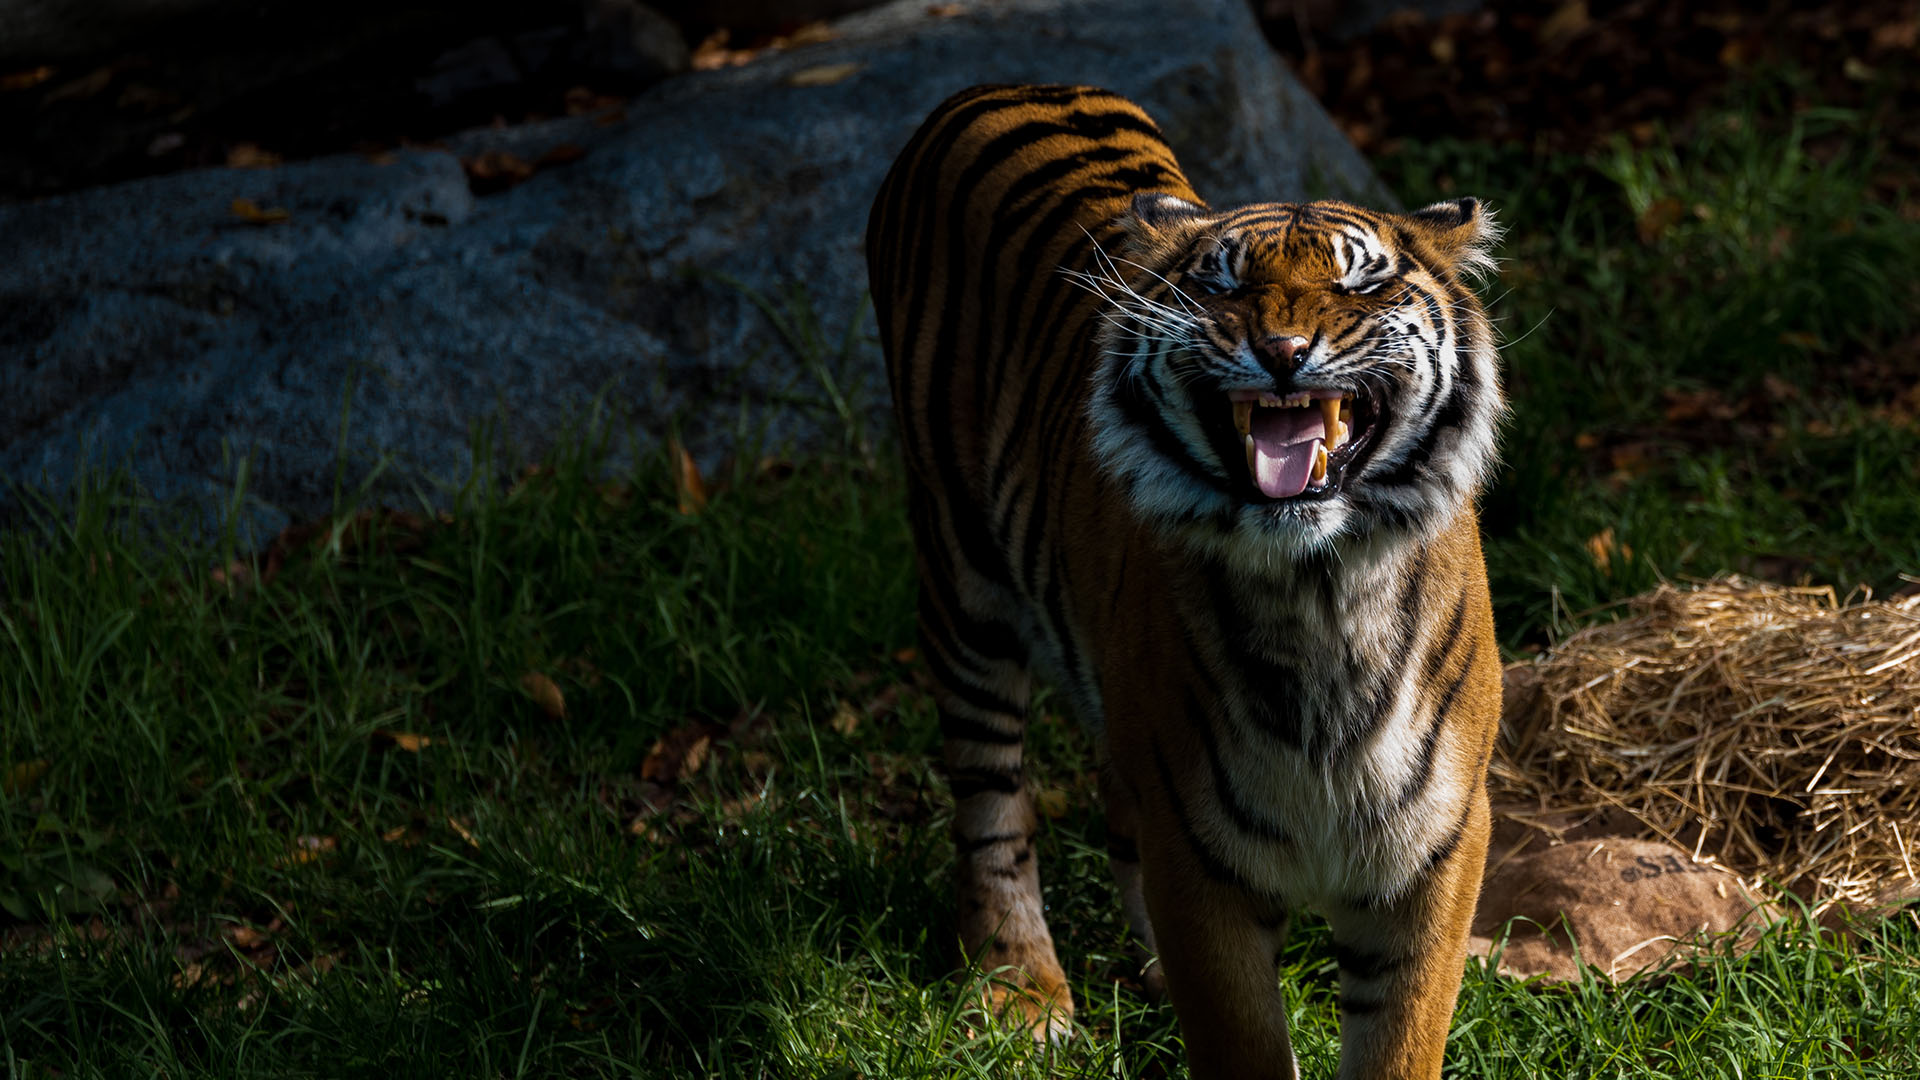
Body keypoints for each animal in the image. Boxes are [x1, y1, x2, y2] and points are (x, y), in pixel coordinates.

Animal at [864, 85, 1505, 1076]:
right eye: (1223, 285)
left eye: (1357, 285)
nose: (1283, 349)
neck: (1321, 594)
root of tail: (997, 90)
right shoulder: (1201, 857)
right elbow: (1242, 1040)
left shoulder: (1435, 849)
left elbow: (1399, 1043)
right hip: (961, 577)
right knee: (990, 804)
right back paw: (1017, 991)